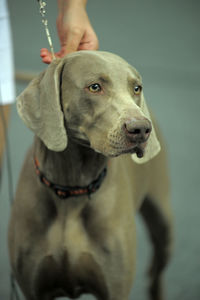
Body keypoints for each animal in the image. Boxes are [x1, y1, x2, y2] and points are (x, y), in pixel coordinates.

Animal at [8, 50, 173, 298]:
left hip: (163, 225)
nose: (141, 128)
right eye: (95, 87)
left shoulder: (115, 288)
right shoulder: (33, 288)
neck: (73, 186)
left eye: (136, 88)